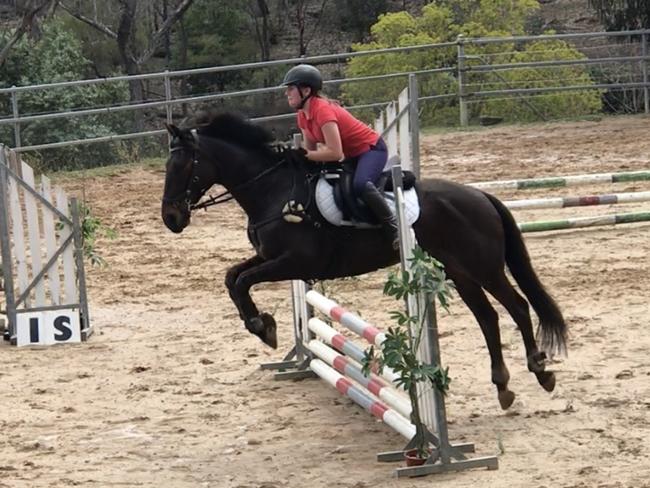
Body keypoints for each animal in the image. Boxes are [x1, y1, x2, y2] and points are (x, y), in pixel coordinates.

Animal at [162, 112, 568, 410]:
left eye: (182, 166)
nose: (171, 218)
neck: (272, 190)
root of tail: (481, 196)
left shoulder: (295, 262)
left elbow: (243, 281)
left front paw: (264, 328)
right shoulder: (269, 257)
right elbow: (232, 278)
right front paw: (261, 325)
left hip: (483, 267)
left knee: (517, 306)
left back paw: (541, 370)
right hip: (459, 271)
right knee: (488, 317)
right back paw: (503, 387)